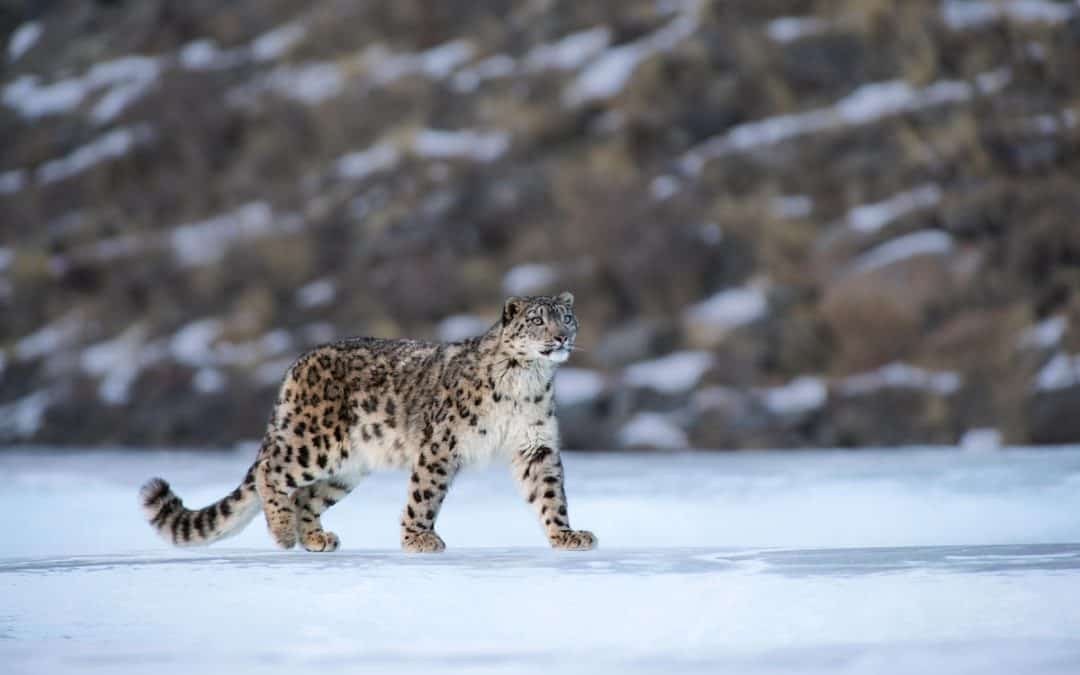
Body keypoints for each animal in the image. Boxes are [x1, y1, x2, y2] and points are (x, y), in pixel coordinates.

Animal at [138, 293, 596, 552]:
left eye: (566, 317)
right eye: (537, 320)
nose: (561, 337)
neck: (527, 380)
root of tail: (297, 364)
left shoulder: (535, 444)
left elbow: (550, 494)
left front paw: (566, 535)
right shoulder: (441, 444)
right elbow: (425, 494)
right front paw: (418, 539)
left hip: (347, 468)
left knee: (307, 497)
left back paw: (316, 539)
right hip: (314, 444)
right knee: (271, 470)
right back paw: (283, 533)